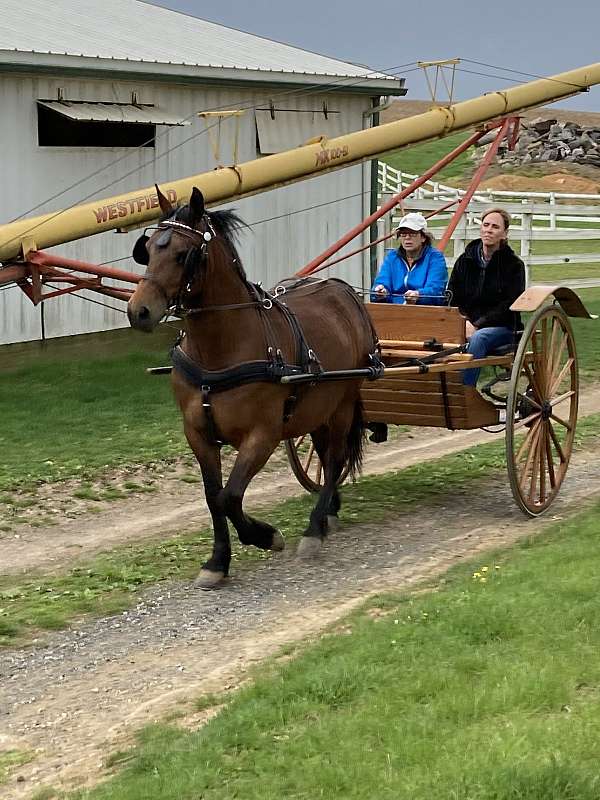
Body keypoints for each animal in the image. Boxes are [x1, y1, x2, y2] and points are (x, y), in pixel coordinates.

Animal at [128, 186, 378, 588]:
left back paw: (314, 529)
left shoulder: (263, 434)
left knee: (335, 458)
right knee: (326, 455)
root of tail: (343, 290)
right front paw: (217, 561)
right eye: (147, 250)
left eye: (183, 254)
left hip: (342, 402)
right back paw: (329, 511)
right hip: (317, 408)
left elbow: (230, 496)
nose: (139, 311)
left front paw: (265, 536)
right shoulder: (197, 433)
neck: (220, 351)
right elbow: (213, 496)